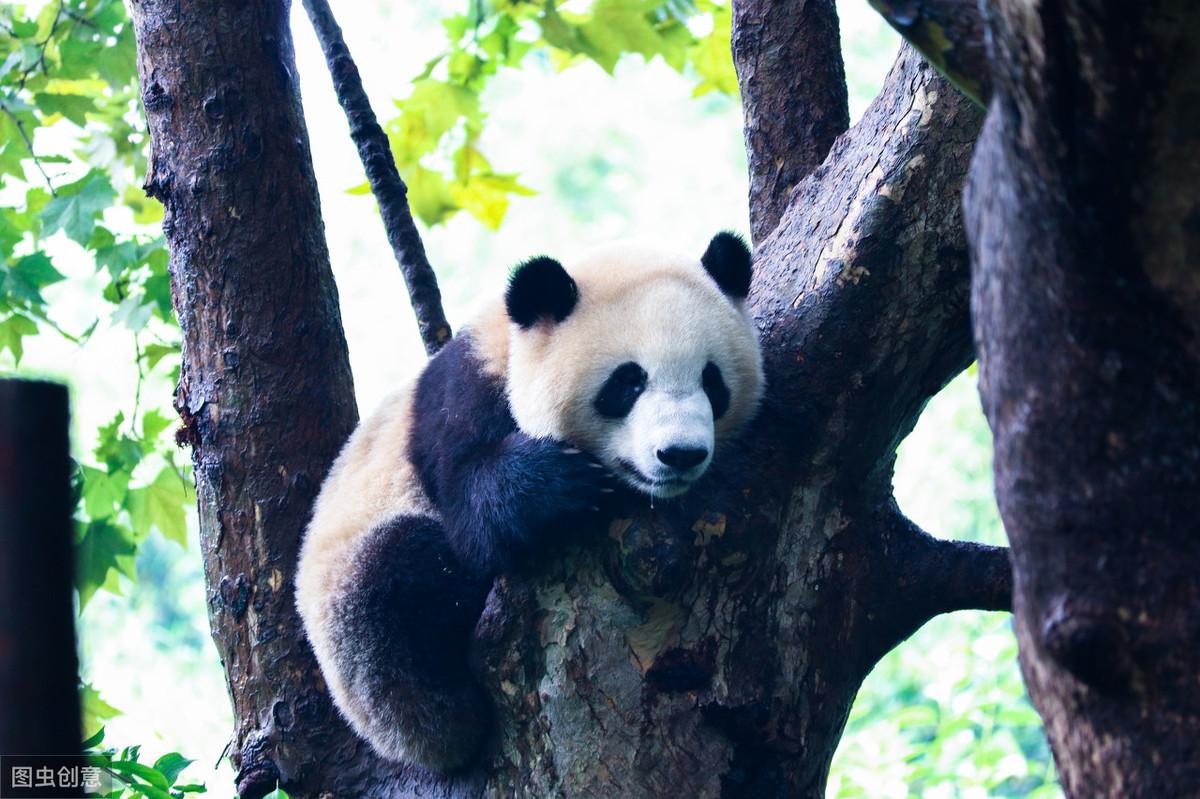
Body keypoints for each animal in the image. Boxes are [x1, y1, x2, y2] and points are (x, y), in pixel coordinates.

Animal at [300, 231, 768, 772]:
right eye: (628, 382)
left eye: (712, 381)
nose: (679, 454)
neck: (510, 344)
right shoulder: (457, 404)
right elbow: (471, 514)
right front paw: (562, 482)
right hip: (350, 623)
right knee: (393, 587)